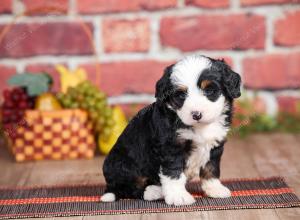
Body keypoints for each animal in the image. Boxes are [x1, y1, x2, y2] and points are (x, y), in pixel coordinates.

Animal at [101, 55, 241, 206]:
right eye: (181, 95)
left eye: (209, 91)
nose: (196, 114)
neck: (200, 127)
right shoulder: (171, 147)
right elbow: (174, 173)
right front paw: (179, 196)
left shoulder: (215, 146)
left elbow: (211, 169)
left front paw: (215, 189)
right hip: (123, 164)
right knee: (128, 188)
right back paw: (153, 192)